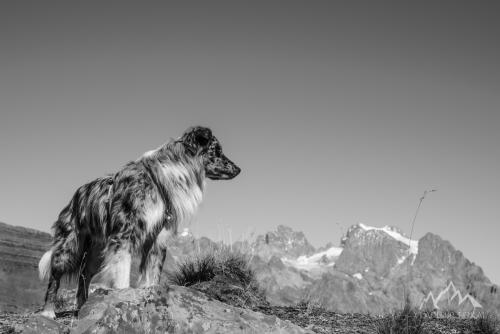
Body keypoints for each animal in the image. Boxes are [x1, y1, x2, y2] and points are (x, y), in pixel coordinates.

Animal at [37, 126, 240, 318]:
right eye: (217, 150)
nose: (239, 169)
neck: (160, 182)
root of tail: (76, 196)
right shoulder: (123, 237)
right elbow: (123, 279)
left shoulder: (158, 240)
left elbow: (152, 277)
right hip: (69, 247)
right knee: (55, 277)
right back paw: (48, 311)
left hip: (97, 252)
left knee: (84, 275)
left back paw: (82, 306)